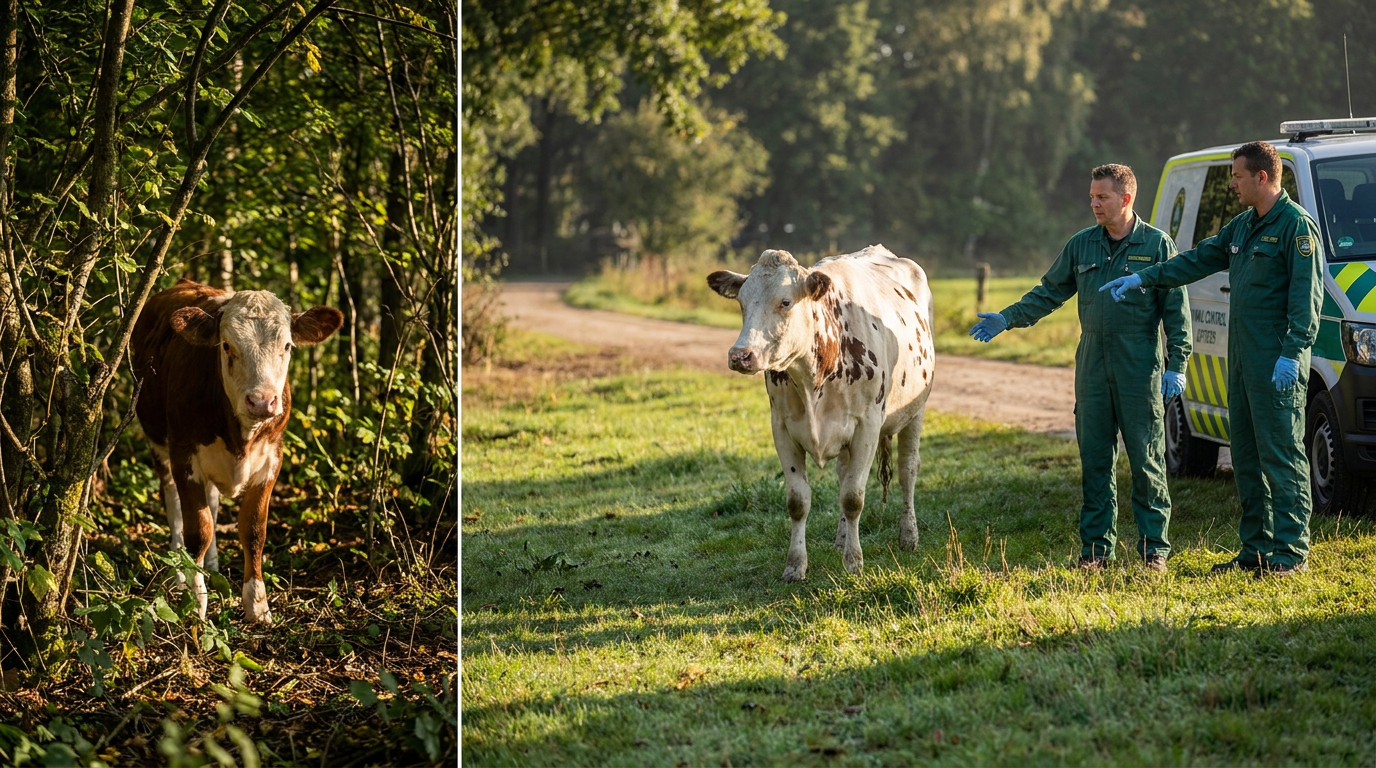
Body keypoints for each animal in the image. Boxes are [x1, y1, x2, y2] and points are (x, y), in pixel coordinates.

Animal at [132, 279, 343, 623]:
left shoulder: (272, 459)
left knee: (213, 503)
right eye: (227, 346)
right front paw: (196, 600)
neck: (240, 435)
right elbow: (197, 531)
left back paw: (213, 565)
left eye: (287, 346)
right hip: (159, 446)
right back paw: (180, 572)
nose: (261, 401)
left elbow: (253, 530)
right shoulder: (184, 456)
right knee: (174, 504)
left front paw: (257, 604)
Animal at [708, 246, 935, 581]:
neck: (813, 374)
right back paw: (841, 539)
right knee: (844, 473)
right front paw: (795, 564)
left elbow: (853, 497)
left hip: (915, 411)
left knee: (908, 470)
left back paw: (908, 536)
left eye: (785, 301)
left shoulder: (867, 426)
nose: (740, 356)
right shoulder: (782, 427)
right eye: (742, 301)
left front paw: (854, 561)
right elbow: (798, 500)